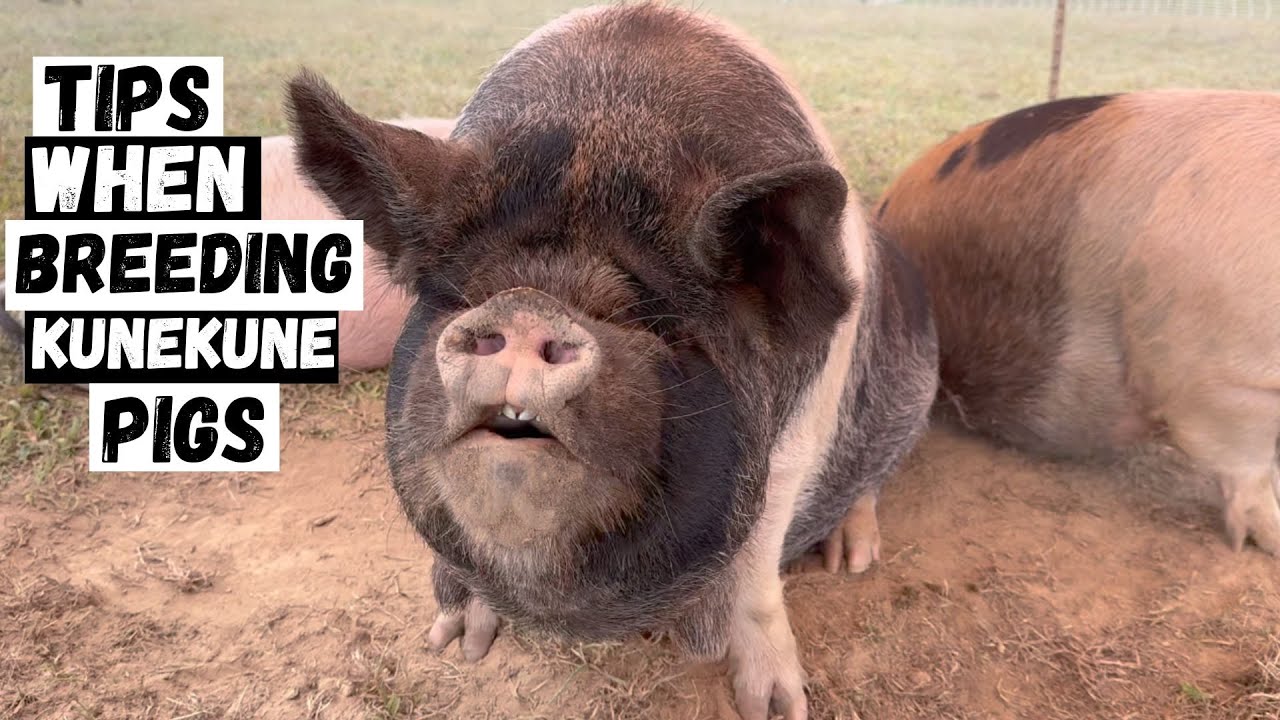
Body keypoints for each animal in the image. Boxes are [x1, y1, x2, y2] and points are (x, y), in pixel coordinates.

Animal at [286, 4, 938, 718]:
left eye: (650, 322)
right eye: (463, 295)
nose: (526, 307)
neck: (607, 123)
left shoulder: (800, 439)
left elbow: (759, 566)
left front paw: (776, 707)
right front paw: (455, 644)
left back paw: (855, 558)